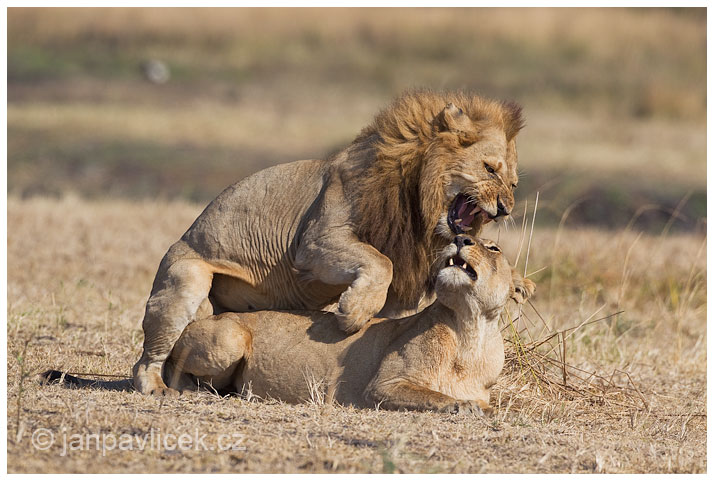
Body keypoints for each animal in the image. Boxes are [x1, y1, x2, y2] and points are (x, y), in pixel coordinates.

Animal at [134, 89, 524, 394]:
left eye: (514, 183)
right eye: (489, 168)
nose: (506, 209)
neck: (418, 206)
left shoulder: (400, 288)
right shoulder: (316, 243)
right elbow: (380, 262)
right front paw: (352, 314)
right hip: (186, 280)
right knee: (147, 359)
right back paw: (157, 387)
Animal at [165, 234, 536, 410]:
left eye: (493, 247)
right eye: (460, 236)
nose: (459, 239)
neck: (469, 329)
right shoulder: (383, 386)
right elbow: (437, 397)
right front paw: (466, 408)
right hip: (230, 338)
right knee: (174, 367)